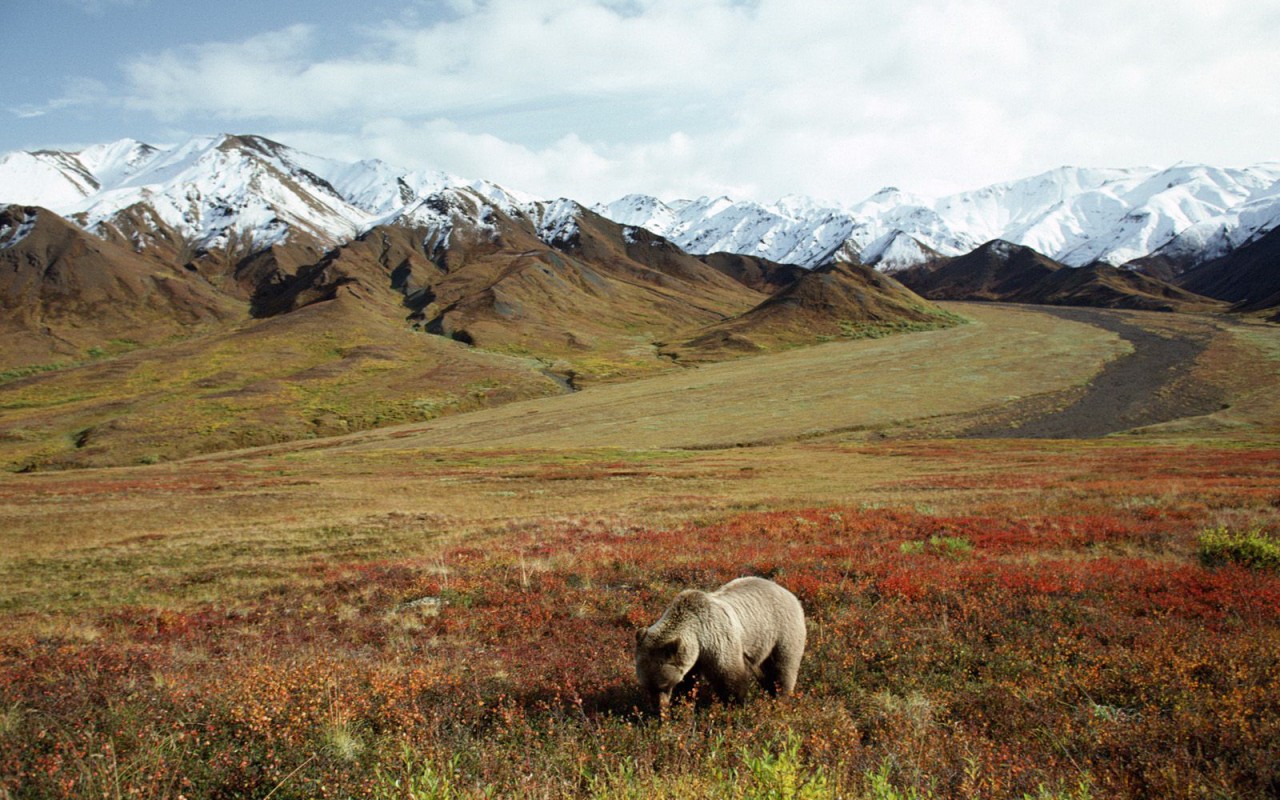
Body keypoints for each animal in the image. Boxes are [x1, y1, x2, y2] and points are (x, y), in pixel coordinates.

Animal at [634, 573, 803, 711]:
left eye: (663, 685)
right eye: (646, 685)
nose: (658, 708)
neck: (698, 638)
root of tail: (787, 592)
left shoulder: (717, 640)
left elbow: (729, 678)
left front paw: (735, 705)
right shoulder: (693, 658)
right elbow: (688, 682)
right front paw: (682, 703)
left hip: (782, 631)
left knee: (783, 667)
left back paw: (780, 697)